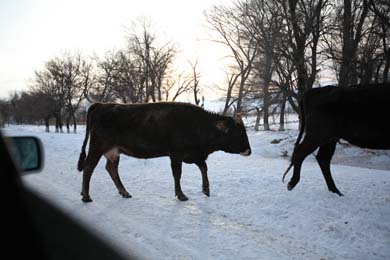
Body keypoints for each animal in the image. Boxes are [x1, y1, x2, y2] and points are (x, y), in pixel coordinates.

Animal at [77, 102, 251, 202]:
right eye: (238, 132)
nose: (249, 151)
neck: (197, 124)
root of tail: (101, 104)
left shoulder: (193, 154)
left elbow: (203, 167)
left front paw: (206, 190)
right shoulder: (176, 154)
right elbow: (177, 174)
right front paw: (181, 195)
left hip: (113, 151)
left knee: (111, 168)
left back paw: (124, 192)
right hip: (97, 146)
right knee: (88, 167)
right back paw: (86, 196)